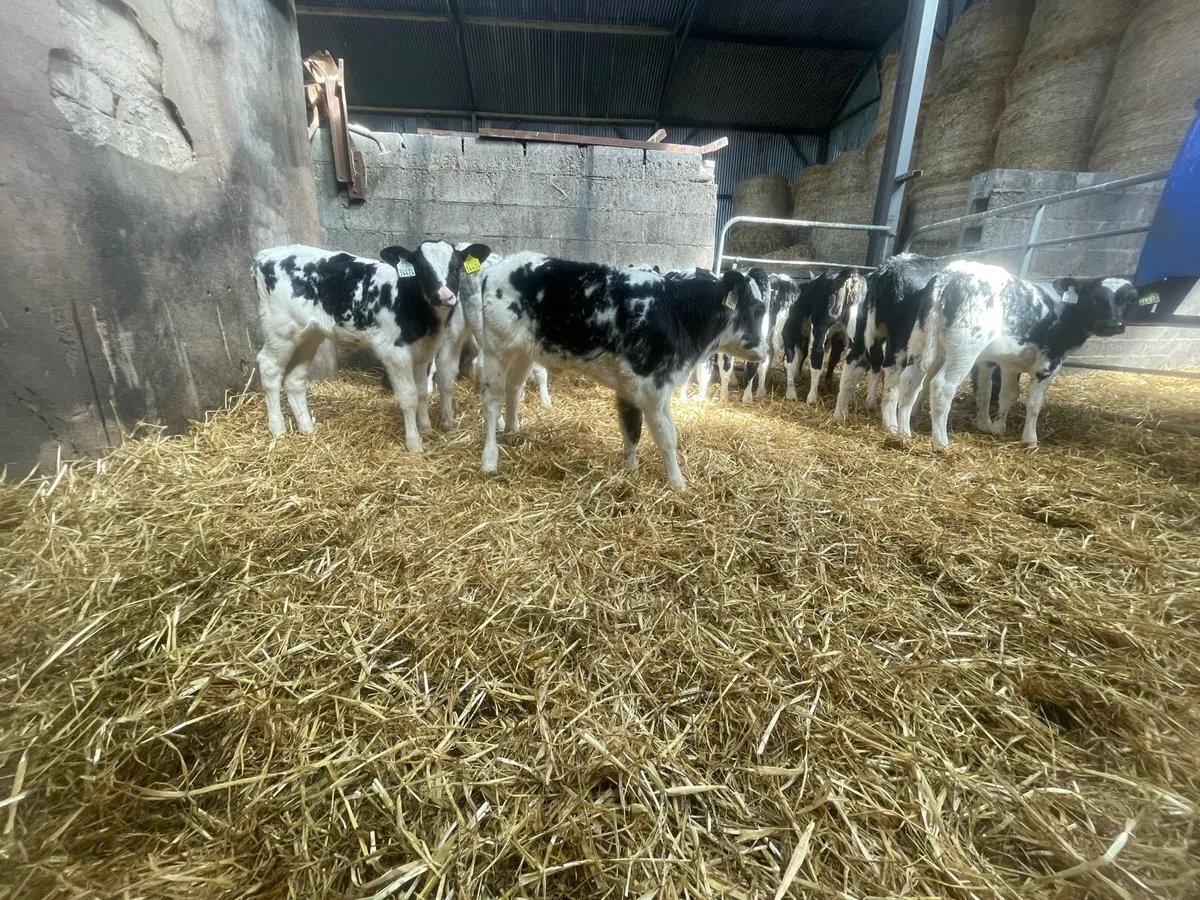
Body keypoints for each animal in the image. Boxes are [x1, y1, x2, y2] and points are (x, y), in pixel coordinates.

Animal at [252, 240, 487, 451]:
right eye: (422, 269)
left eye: (456, 266)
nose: (445, 296)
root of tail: (264, 255)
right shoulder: (395, 352)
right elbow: (409, 396)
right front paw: (414, 443)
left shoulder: (423, 352)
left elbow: (422, 392)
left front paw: (426, 428)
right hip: (281, 331)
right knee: (269, 367)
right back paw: (278, 429)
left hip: (310, 334)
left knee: (294, 380)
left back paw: (308, 429)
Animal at [477, 254, 769, 488]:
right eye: (758, 310)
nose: (765, 351)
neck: (676, 311)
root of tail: (497, 267)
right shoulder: (654, 386)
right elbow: (667, 437)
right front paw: (677, 484)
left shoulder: (630, 385)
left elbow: (631, 429)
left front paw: (631, 470)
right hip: (495, 350)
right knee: (492, 401)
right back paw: (490, 458)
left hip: (523, 352)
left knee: (514, 388)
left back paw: (513, 431)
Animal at [779, 268, 867, 403]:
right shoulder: (837, 337)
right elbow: (832, 358)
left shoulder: (791, 331)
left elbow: (792, 358)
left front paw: (791, 391)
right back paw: (850, 397)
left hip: (820, 324)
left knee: (816, 354)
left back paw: (811, 398)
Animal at [833, 253, 943, 429]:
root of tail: (887, 268)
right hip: (904, 341)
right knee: (893, 374)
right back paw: (892, 426)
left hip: (861, 333)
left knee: (853, 367)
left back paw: (840, 415)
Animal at [894, 261, 1136, 449]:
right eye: (1093, 299)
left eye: (1129, 299)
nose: (1113, 325)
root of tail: (951, 273)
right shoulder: (1048, 364)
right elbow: (1034, 403)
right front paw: (1030, 439)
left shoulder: (1009, 363)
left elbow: (1006, 394)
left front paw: (997, 427)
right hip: (964, 351)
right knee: (941, 386)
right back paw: (941, 443)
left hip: (921, 341)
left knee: (911, 382)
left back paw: (904, 432)